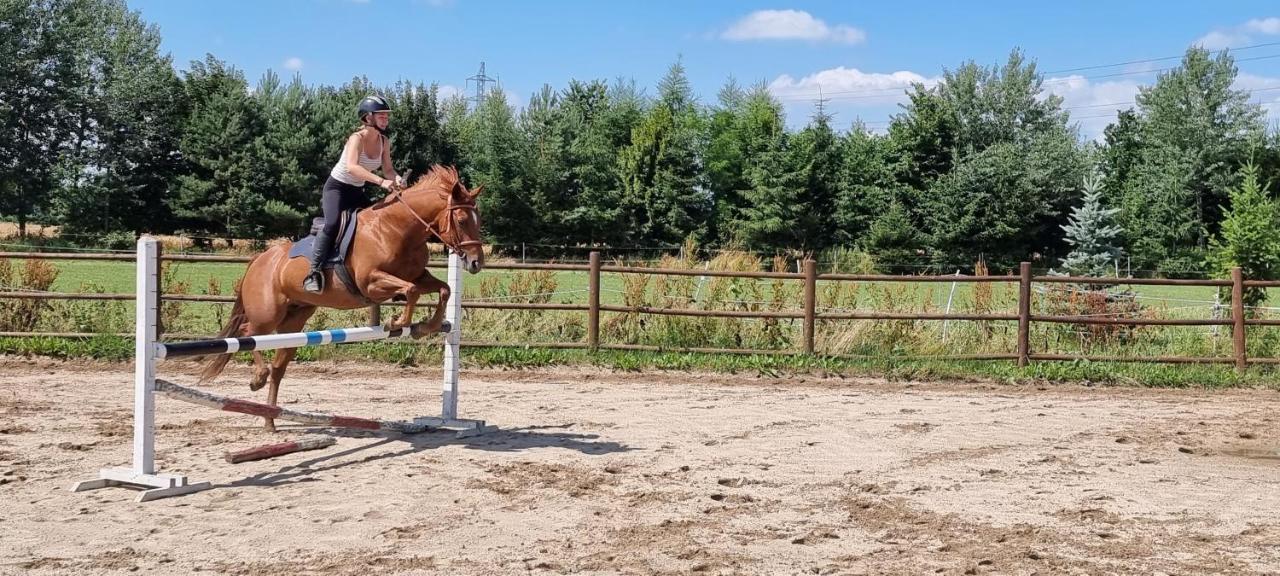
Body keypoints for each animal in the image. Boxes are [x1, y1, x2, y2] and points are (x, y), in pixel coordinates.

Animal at [194, 163, 483, 430]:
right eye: (461, 220)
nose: (476, 263)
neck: (397, 228)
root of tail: (260, 259)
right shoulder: (371, 283)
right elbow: (410, 291)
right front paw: (397, 322)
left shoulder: (419, 276)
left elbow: (443, 289)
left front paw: (425, 327)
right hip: (268, 314)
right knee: (248, 333)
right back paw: (257, 378)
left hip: (294, 320)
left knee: (278, 366)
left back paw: (270, 421)